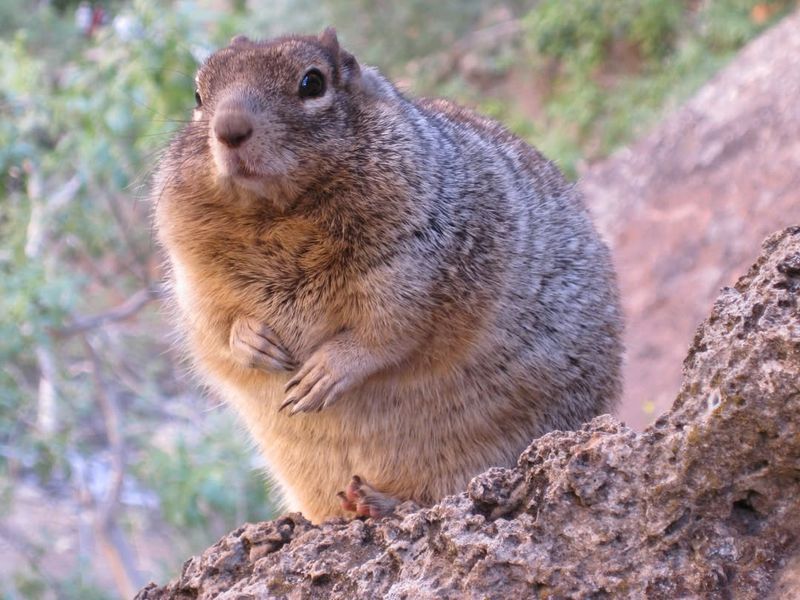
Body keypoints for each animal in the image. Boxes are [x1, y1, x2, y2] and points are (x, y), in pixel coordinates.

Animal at [150, 28, 624, 524]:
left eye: (312, 83)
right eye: (198, 95)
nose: (229, 129)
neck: (276, 214)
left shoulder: (417, 267)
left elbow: (388, 333)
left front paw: (322, 374)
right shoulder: (195, 284)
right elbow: (217, 328)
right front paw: (253, 343)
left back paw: (376, 500)